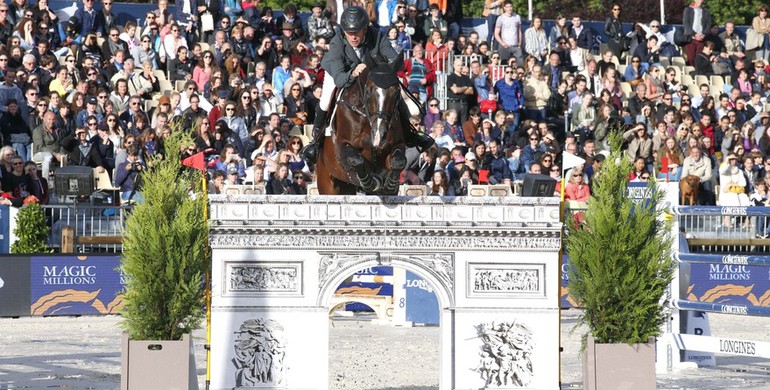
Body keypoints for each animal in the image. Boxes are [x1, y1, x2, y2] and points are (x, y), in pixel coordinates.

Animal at [314, 55, 404, 195]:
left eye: (397, 92)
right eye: (368, 91)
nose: (379, 135)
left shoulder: (397, 144)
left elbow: (399, 161)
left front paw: (389, 185)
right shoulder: (342, 146)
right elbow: (356, 159)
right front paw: (371, 182)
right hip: (327, 183)